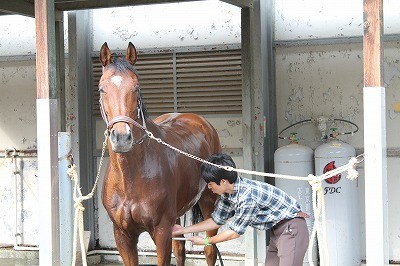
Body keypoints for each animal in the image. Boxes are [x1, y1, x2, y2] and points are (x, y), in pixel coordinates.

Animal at [98, 42, 220, 266]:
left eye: (136, 88)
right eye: (102, 89)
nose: (122, 137)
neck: (130, 179)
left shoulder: (161, 231)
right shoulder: (123, 235)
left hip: (209, 202)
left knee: (210, 250)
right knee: (180, 250)